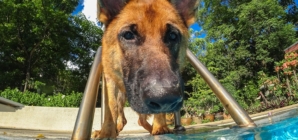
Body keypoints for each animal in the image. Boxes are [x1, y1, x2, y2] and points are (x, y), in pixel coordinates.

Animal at [92, 0, 200, 138]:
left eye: (172, 36)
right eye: (128, 35)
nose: (165, 98)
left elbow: (158, 114)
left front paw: (160, 127)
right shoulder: (110, 81)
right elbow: (111, 106)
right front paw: (106, 132)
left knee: (140, 120)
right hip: (123, 96)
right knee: (125, 116)